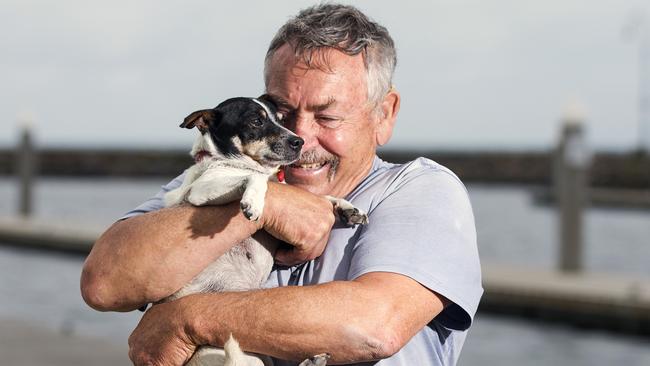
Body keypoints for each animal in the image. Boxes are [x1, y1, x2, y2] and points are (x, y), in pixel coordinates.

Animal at [160, 96, 368, 366]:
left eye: (280, 119)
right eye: (256, 122)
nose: (299, 141)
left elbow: (320, 197)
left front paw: (347, 207)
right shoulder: (201, 190)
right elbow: (254, 178)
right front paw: (253, 202)